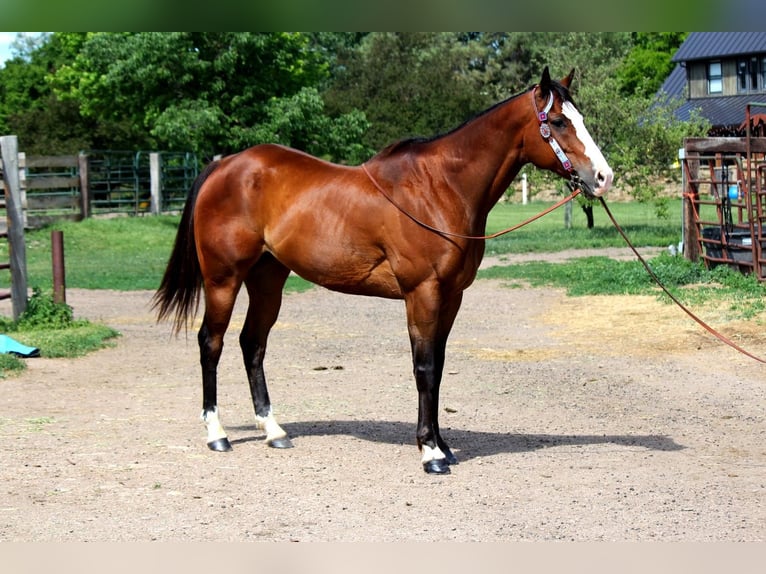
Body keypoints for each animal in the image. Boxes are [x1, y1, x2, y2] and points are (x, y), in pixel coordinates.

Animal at [153, 67, 613, 474]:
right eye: (558, 121)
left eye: (582, 118)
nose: (603, 177)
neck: (439, 187)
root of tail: (225, 165)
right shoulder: (422, 292)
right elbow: (424, 367)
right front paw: (430, 453)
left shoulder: (451, 295)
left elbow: (438, 367)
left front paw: (442, 445)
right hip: (223, 279)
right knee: (211, 343)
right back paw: (217, 434)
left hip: (268, 278)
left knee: (253, 343)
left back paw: (274, 430)